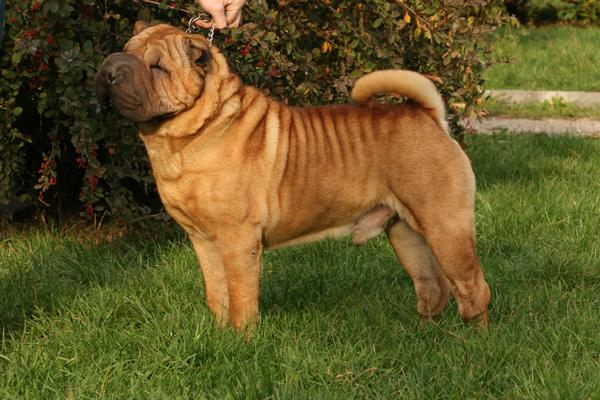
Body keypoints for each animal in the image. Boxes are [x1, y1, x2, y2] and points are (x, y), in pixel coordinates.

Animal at [95, 22, 490, 330]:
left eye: (157, 66)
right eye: (123, 51)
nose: (109, 68)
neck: (188, 135)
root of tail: (426, 115)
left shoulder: (238, 240)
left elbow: (241, 298)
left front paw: (241, 341)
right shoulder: (203, 240)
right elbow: (216, 294)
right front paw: (219, 335)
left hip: (444, 225)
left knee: (472, 287)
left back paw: (474, 342)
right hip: (405, 231)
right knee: (433, 286)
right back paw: (423, 336)